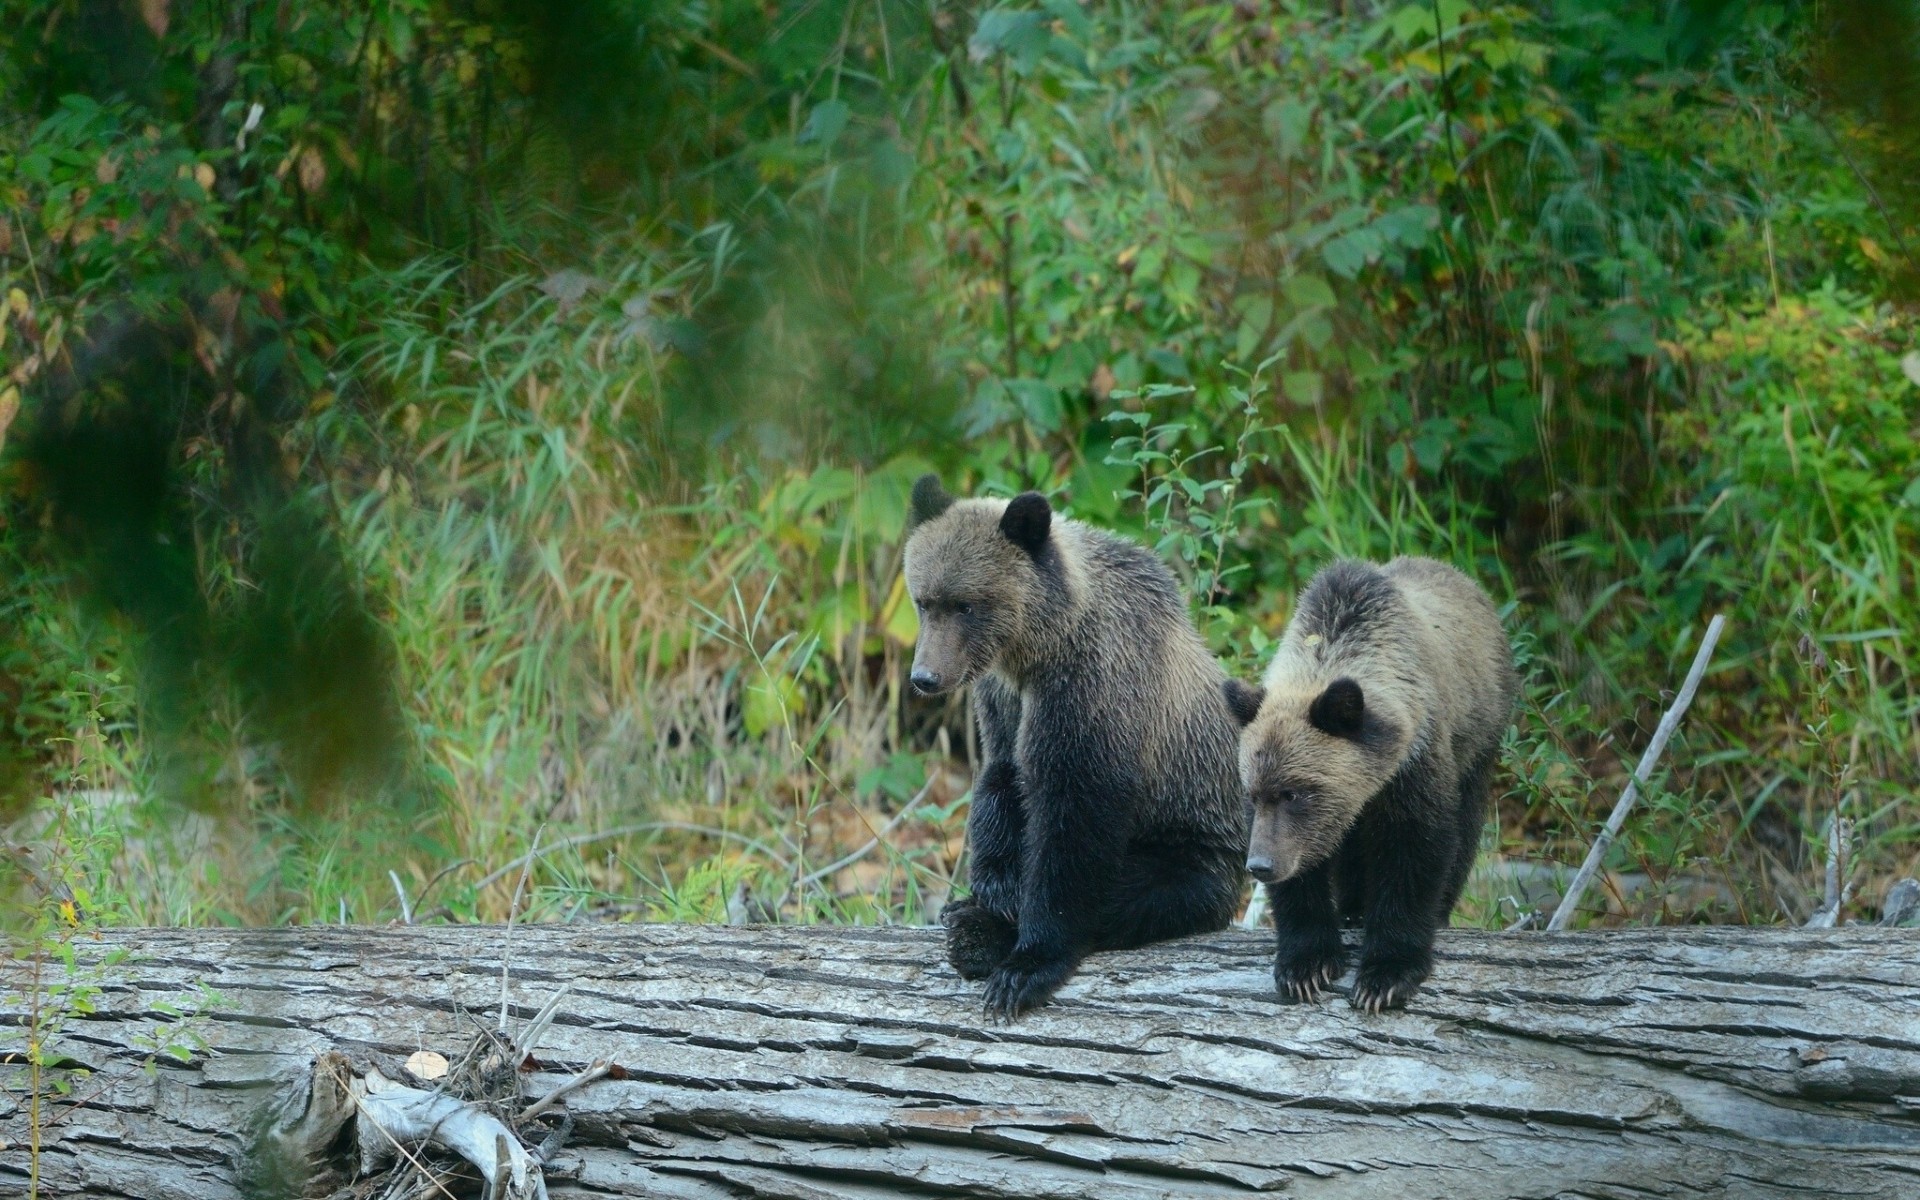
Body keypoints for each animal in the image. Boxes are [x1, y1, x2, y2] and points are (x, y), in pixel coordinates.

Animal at [902, 474, 1247, 1020]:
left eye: (966, 604)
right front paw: (992, 888)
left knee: (1137, 891)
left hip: (1195, 844)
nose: (926, 677)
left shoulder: (1092, 685)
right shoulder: (1002, 696)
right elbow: (1002, 774)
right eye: (924, 601)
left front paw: (1026, 966)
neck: (1035, 646)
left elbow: (1075, 816)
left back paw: (977, 935)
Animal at [1224, 556, 1517, 1013]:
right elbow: (1306, 873)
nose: (1261, 866)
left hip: (1479, 737)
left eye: (1294, 792)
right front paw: (1305, 966)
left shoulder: (1414, 765)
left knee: (1466, 826)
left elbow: (1415, 851)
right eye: (1253, 795)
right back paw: (1352, 910)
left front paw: (1386, 975)